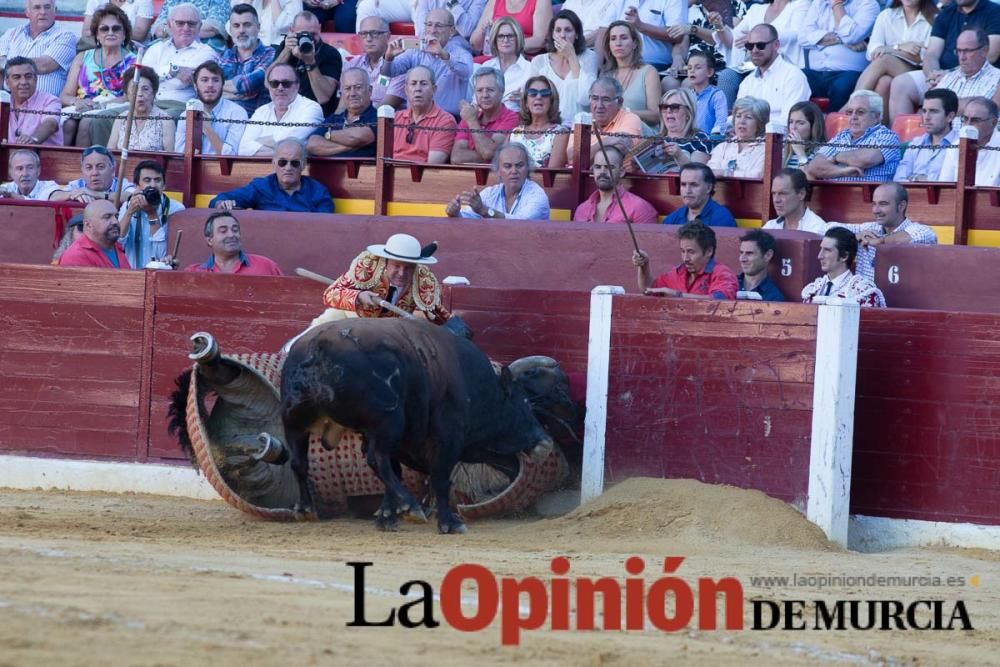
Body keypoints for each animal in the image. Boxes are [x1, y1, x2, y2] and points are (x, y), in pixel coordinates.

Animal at [282, 318, 560, 532]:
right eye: (523, 403)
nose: (546, 442)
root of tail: (317, 346)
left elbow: (396, 473)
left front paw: (387, 517)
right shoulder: (447, 437)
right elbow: (439, 478)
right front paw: (449, 523)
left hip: (294, 421)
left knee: (299, 462)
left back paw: (305, 509)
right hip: (389, 422)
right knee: (377, 460)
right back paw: (413, 507)